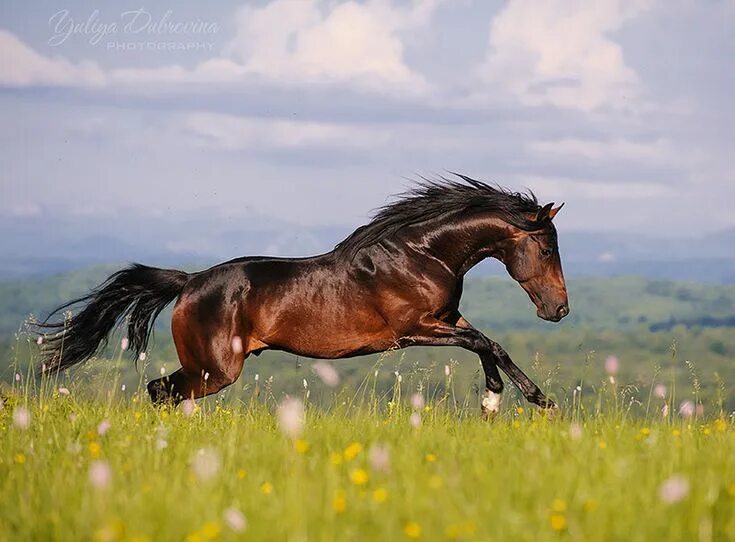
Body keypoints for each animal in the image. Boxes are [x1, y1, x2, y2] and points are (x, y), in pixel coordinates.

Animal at [36, 176, 568, 418]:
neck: (420, 255)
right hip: (215, 368)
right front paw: (517, 400)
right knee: (160, 390)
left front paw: (509, 400)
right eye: (546, 247)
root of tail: (188, 283)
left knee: (162, 391)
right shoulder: (413, 329)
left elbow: (491, 344)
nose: (559, 310)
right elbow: (484, 343)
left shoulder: (448, 319)